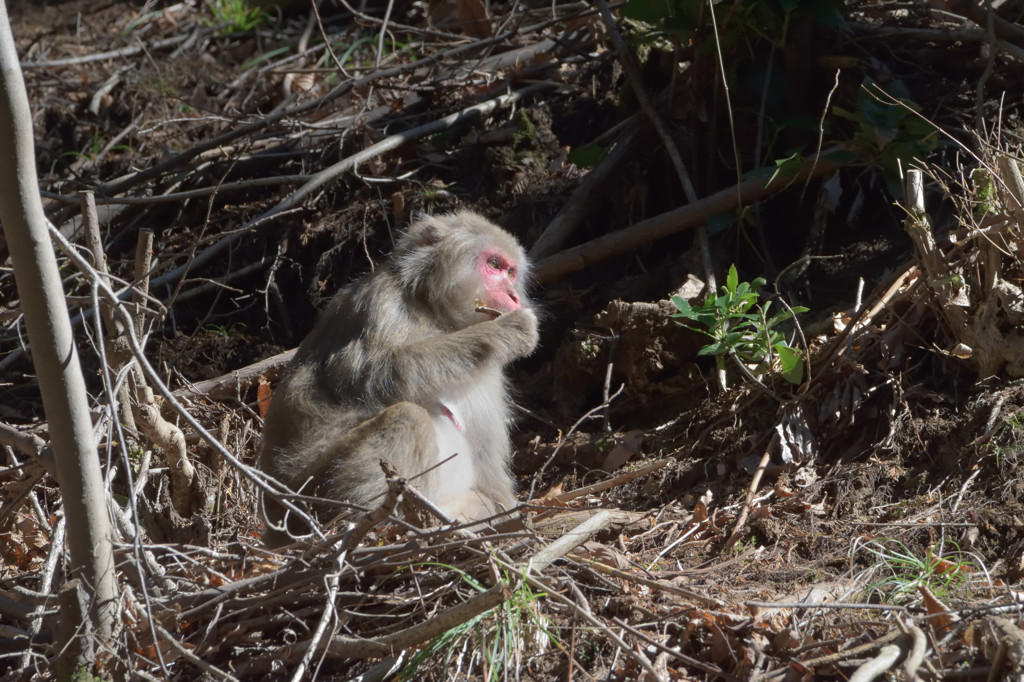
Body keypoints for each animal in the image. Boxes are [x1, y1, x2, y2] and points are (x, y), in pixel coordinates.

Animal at [260, 210, 540, 540]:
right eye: (494, 264)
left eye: (511, 272)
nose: (513, 295)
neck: (435, 315)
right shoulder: (379, 303)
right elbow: (369, 376)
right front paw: (505, 331)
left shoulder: (489, 377)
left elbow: (488, 467)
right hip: (310, 497)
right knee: (408, 417)